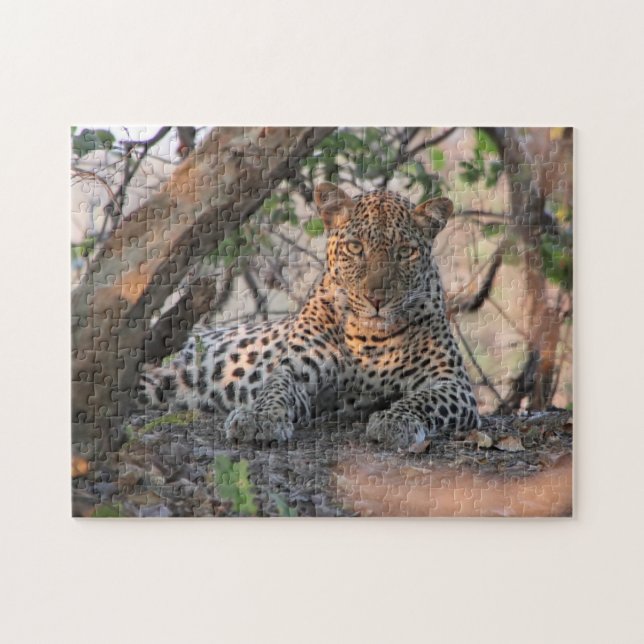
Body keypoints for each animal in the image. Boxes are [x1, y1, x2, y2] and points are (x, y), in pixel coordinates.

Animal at [140, 182, 480, 452]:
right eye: (355, 247)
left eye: (406, 252)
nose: (377, 299)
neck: (369, 337)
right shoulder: (297, 368)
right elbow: (275, 389)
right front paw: (259, 418)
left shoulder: (452, 381)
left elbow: (422, 400)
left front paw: (394, 420)